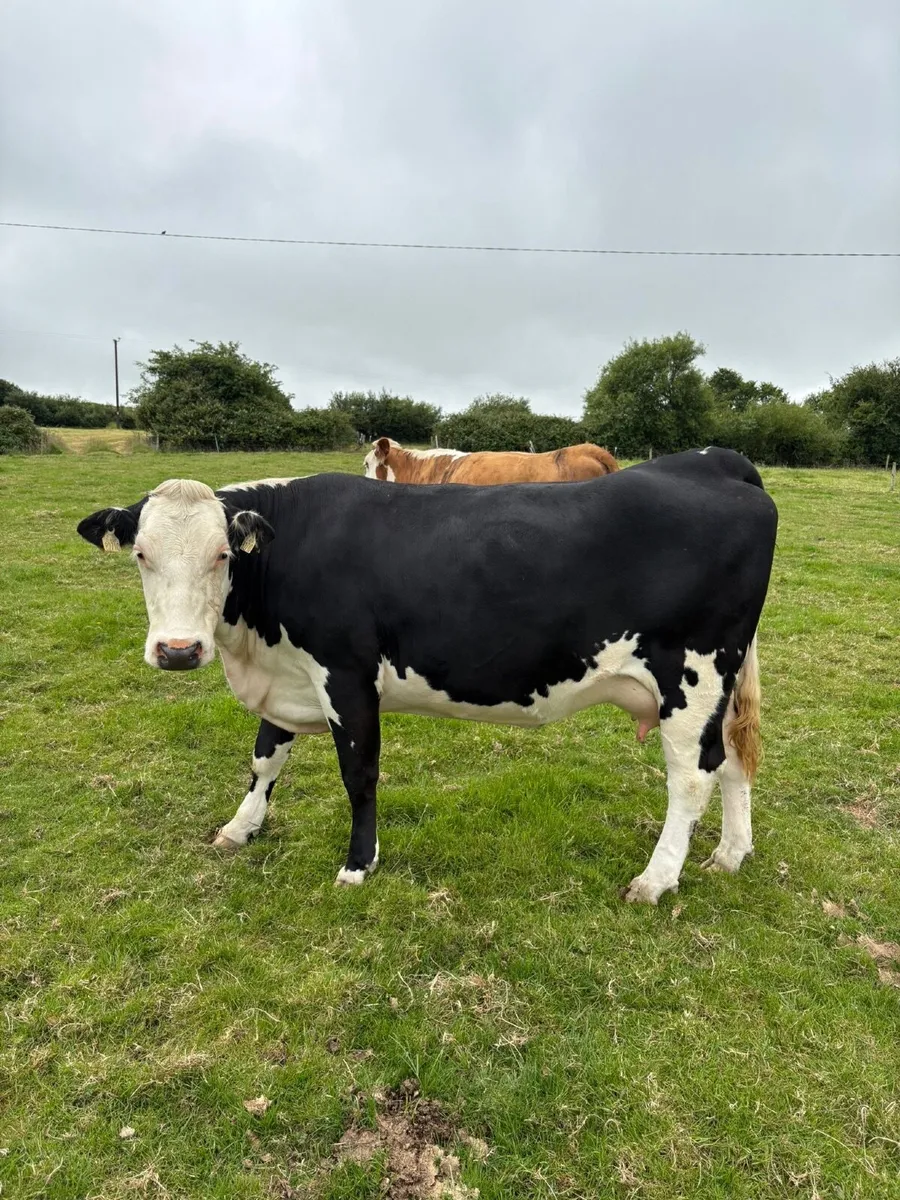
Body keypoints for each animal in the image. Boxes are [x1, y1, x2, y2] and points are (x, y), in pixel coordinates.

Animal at [76, 447, 777, 904]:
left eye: (223, 554)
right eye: (142, 554)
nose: (177, 650)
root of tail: (712, 461)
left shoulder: (347, 674)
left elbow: (358, 773)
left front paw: (358, 866)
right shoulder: (286, 678)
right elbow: (265, 758)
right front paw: (240, 829)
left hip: (692, 674)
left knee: (692, 776)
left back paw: (656, 880)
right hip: (723, 678)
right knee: (733, 758)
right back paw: (729, 855)